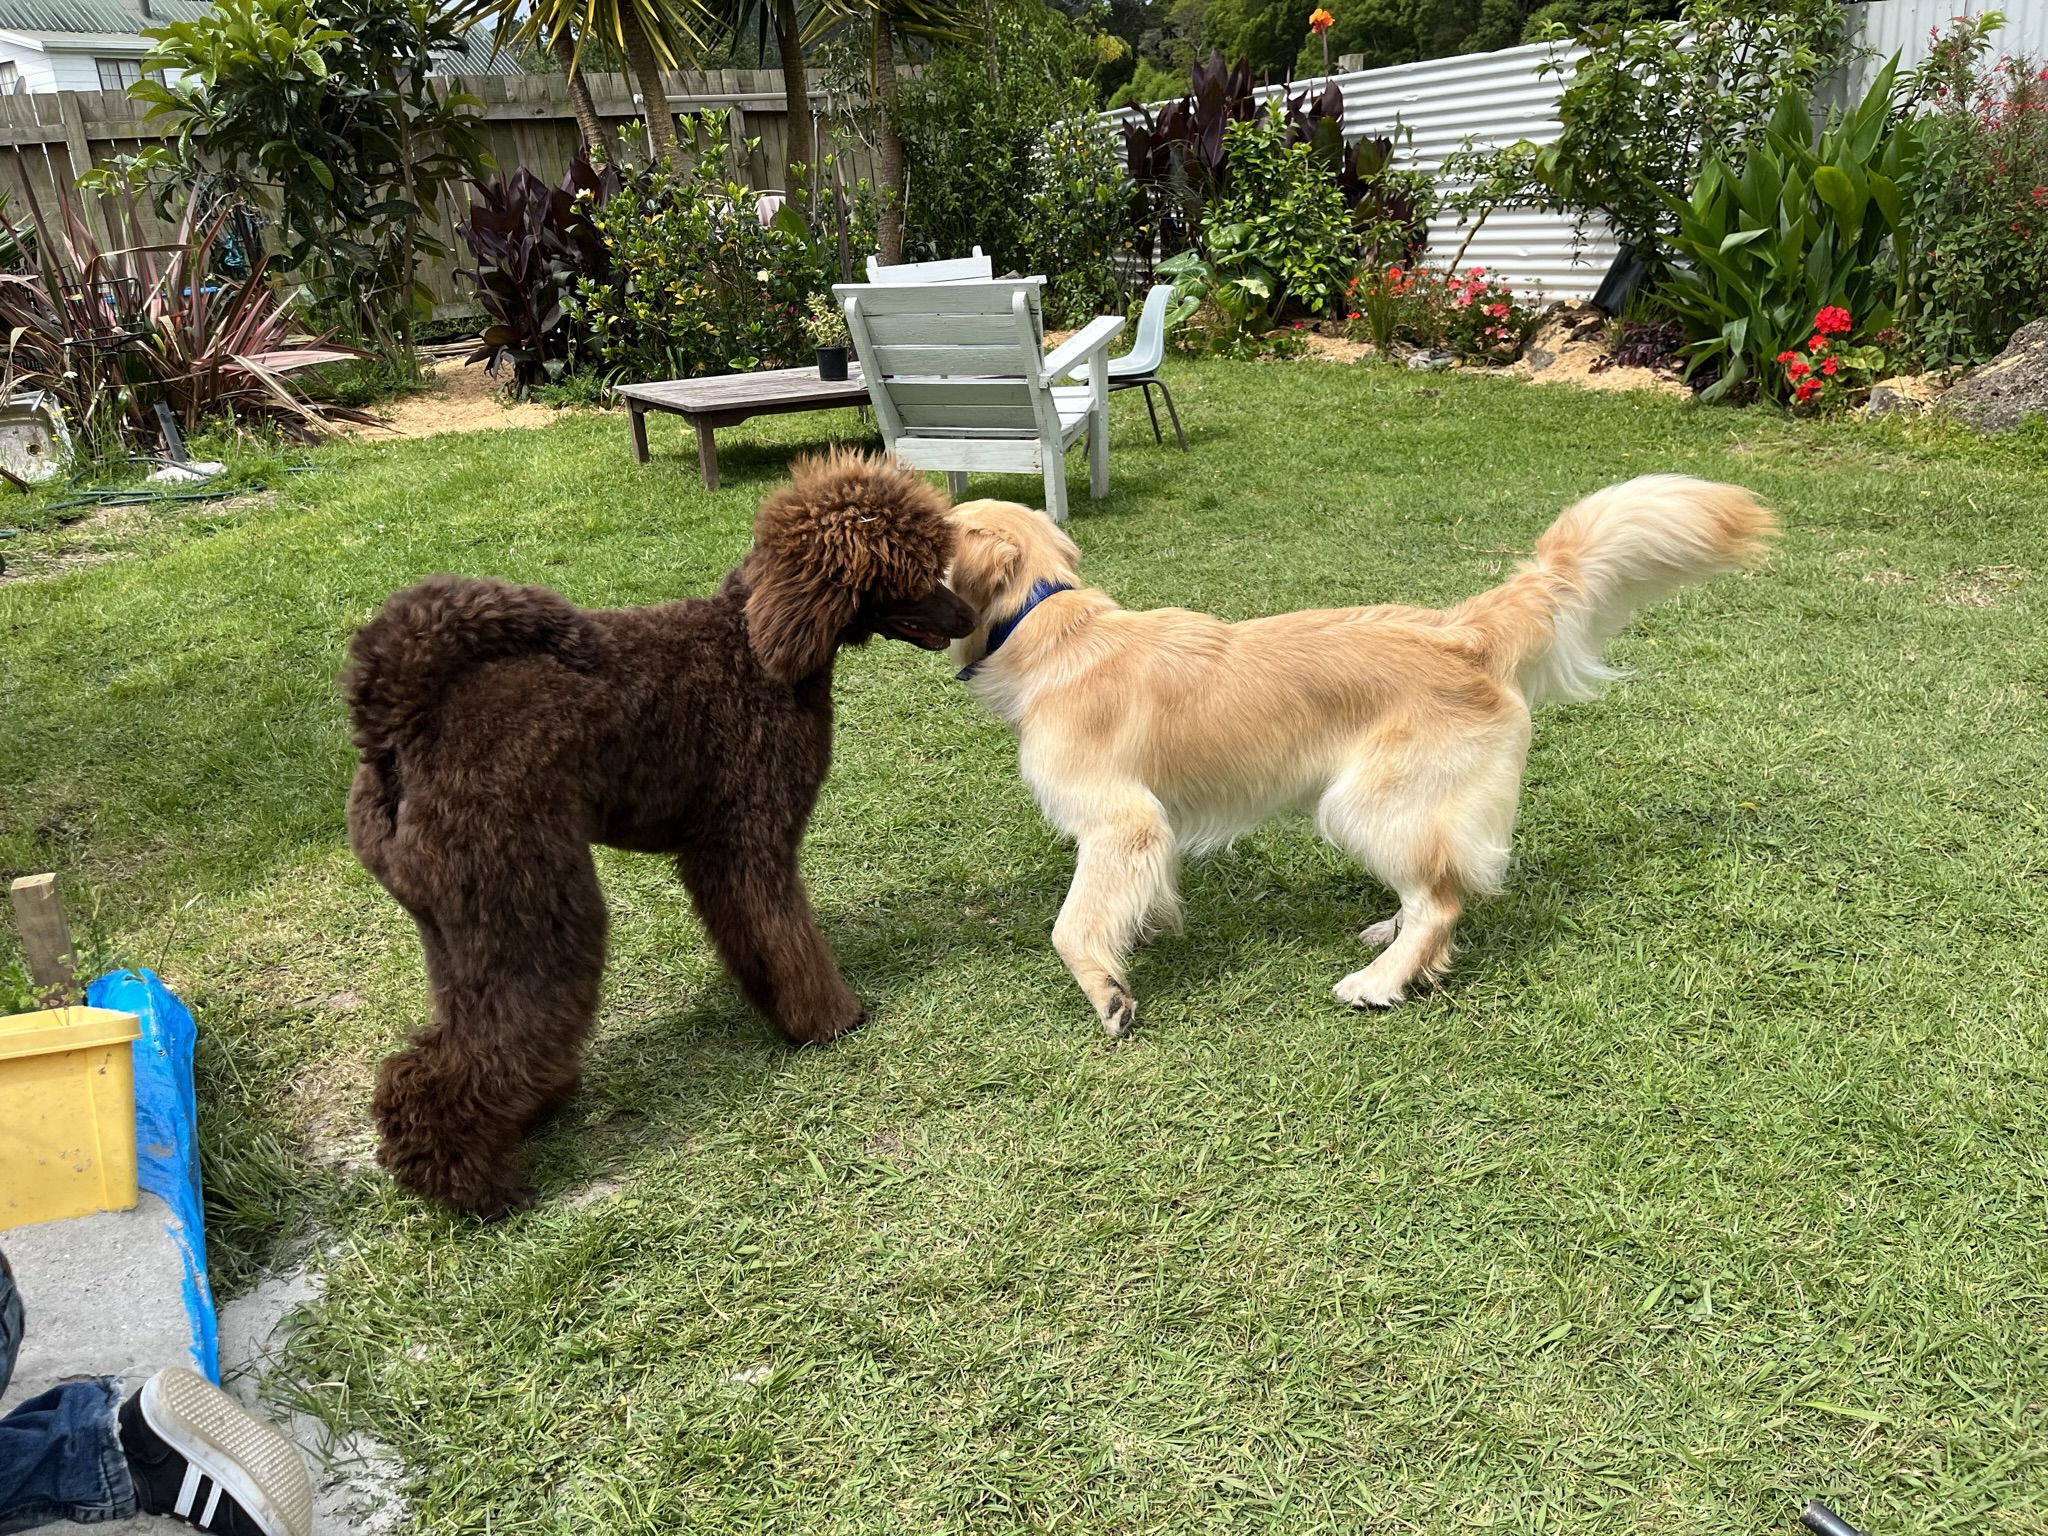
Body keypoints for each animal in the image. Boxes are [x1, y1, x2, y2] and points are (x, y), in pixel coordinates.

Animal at [342, 450, 974, 1220]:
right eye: (909, 572)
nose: (970, 615)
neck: (753, 645)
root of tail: (398, 725)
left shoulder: (714, 856)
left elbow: (754, 941)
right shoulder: (751, 841)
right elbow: (787, 936)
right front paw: (829, 1021)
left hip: (456, 928)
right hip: (532, 905)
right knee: (454, 1061)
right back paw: (476, 1187)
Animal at [950, 479, 1769, 1036]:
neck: (1047, 626)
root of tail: (1463, 630)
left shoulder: (1120, 822)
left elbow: (1071, 925)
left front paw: (1109, 993)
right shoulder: (1147, 830)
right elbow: (1130, 895)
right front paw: (1141, 928)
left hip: (1361, 801)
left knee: (1442, 902)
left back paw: (1380, 979)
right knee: (1433, 887)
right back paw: (1389, 933)